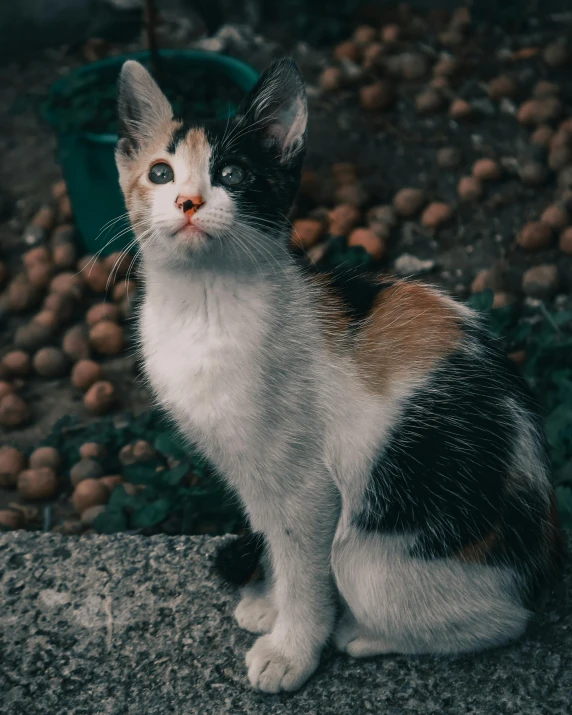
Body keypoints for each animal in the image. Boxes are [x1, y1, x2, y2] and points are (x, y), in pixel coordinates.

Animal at [116, 58, 564, 696]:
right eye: (160, 172)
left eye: (232, 173)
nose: (187, 201)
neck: (204, 306)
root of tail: (543, 562)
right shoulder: (250, 474)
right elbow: (276, 543)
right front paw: (271, 604)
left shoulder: (306, 486)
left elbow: (305, 564)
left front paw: (293, 648)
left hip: (373, 548)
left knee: (501, 620)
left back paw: (364, 633)